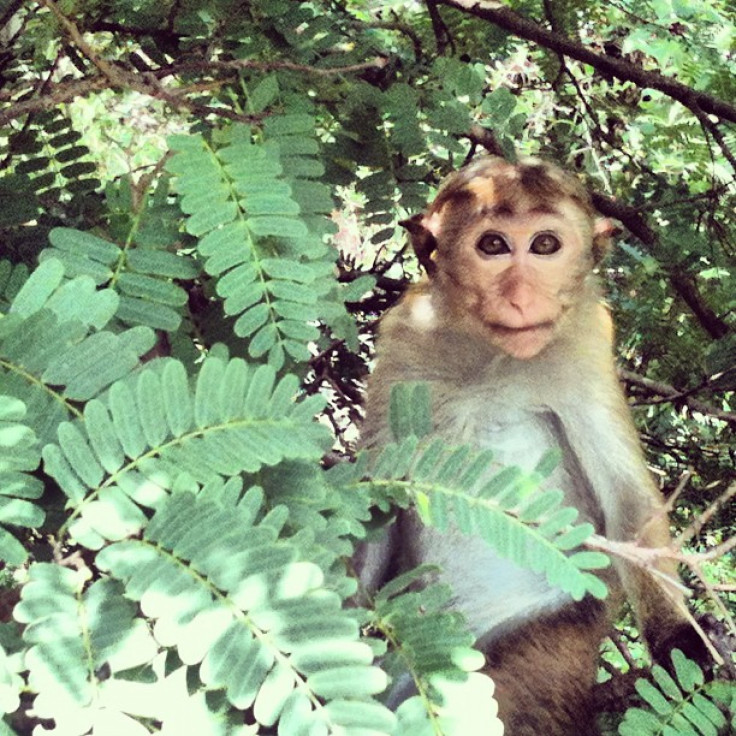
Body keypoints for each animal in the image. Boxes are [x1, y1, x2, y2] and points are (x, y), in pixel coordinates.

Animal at [356, 157, 696, 736]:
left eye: (544, 245)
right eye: (493, 245)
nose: (520, 295)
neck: (487, 354)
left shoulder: (585, 344)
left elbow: (627, 500)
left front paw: (682, 642)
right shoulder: (403, 343)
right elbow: (380, 492)